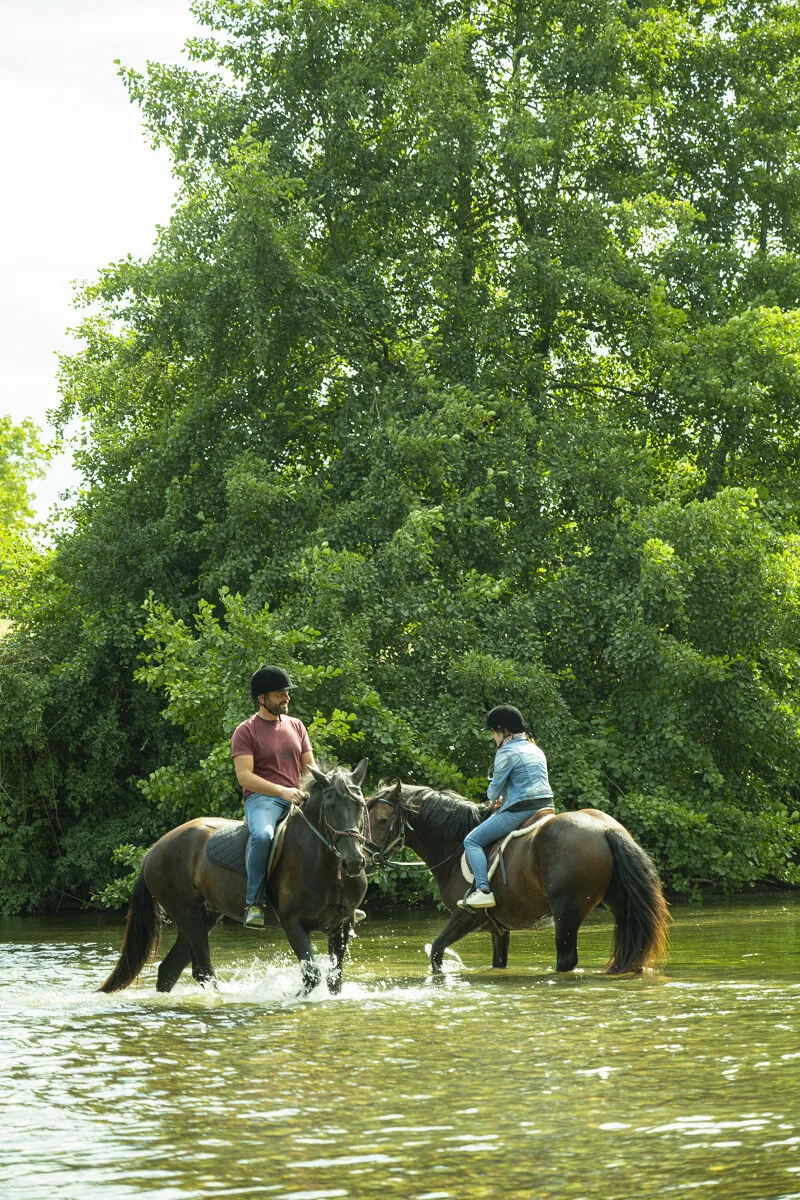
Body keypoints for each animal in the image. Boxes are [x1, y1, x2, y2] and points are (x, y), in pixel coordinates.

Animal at [99, 763, 369, 998]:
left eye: (360, 805)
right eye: (330, 806)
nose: (353, 861)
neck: (327, 868)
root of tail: (153, 850)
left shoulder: (341, 926)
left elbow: (335, 980)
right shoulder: (294, 924)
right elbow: (312, 975)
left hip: (203, 917)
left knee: (170, 970)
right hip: (188, 915)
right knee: (202, 971)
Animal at [369, 787, 671, 974]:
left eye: (382, 820)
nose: (366, 854)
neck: (455, 845)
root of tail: (606, 829)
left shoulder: (467, 916)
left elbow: (436, 950)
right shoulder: (499, 929)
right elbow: (498, 962)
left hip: (566, 914)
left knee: (566, 960)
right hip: (620, 908)